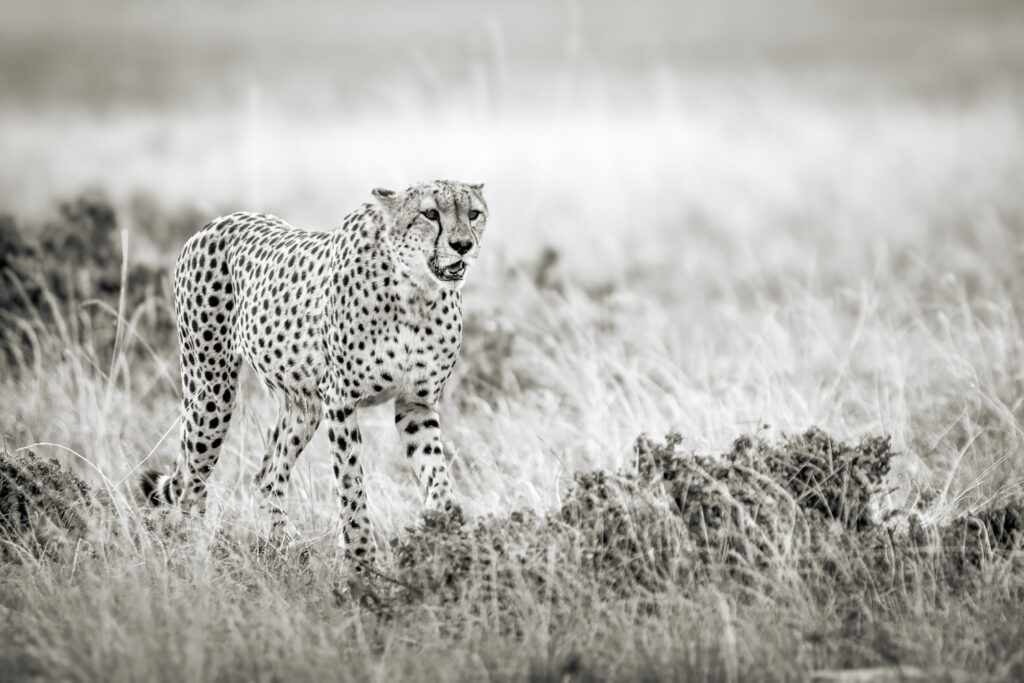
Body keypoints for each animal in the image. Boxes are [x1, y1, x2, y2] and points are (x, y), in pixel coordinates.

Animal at [140, 179, 487, 566]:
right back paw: (198, 552)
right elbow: (351, 484)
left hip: (303, 406)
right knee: (191, 479)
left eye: (474, 213)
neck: (415, 292)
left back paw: (281, 550)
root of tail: (215, 223)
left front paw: (442, 530)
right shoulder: (340, 401)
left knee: (268, 475)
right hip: (211, 392)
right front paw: (361, 561)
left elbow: (439, 477)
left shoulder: (415, 404)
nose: (463, 245)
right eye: (430, 213)